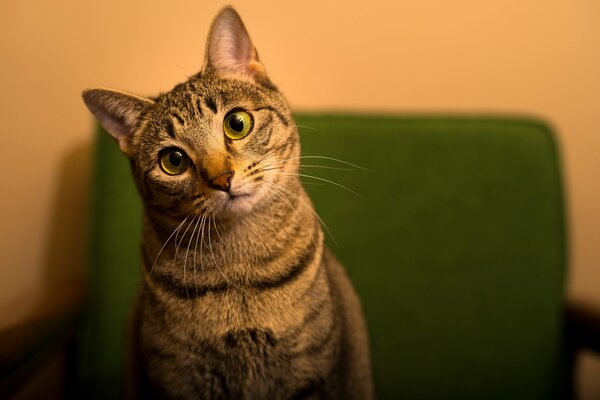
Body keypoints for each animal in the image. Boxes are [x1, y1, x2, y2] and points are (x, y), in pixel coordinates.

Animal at [82, 6, 372, 400]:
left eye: (237, 123)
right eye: (173, 161)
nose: (221, 180)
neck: (239, 273)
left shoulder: (308, 374)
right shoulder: (176, 379)